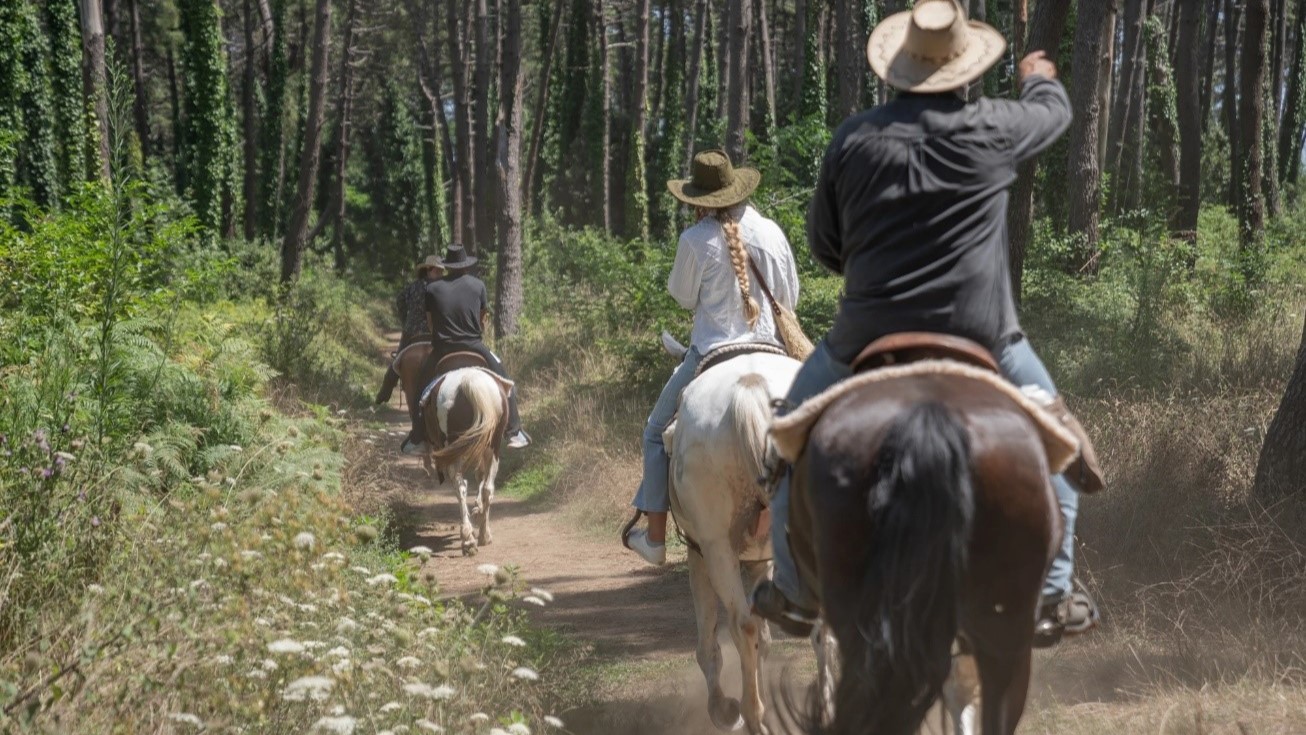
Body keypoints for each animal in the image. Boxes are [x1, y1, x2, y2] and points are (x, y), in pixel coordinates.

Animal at [425, 368, 511, 558]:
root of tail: (469, 379)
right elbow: (481, 479)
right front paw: (478, 511)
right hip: (492, 445)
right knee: (485, 488)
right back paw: (480, 536)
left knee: (462, 487)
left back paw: (469, 539)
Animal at [658, 336, 799, 731]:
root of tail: (750, 387)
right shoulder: (760, 561)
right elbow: (764, 636)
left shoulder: (698, 554)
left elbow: (710, 640)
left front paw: (722, 708)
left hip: (716, 548)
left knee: (741, 624)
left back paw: (750, 716)